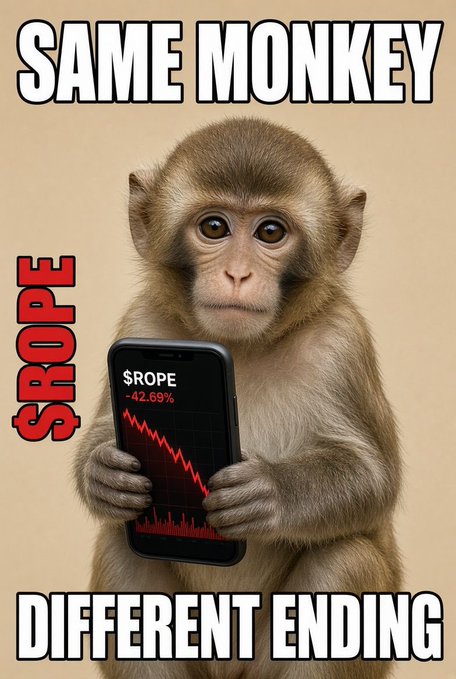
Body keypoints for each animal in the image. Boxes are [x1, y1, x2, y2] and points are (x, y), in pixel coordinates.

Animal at [74, 117, 401, 679]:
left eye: (270, 232)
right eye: (214, 228)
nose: (238, 274)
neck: (244, 350)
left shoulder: (343, 342)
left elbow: (374, 478)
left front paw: (269, 491)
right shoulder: (141, 324)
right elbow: (101, 440)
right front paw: (104, 471)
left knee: (346, 559)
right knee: (123, 548)